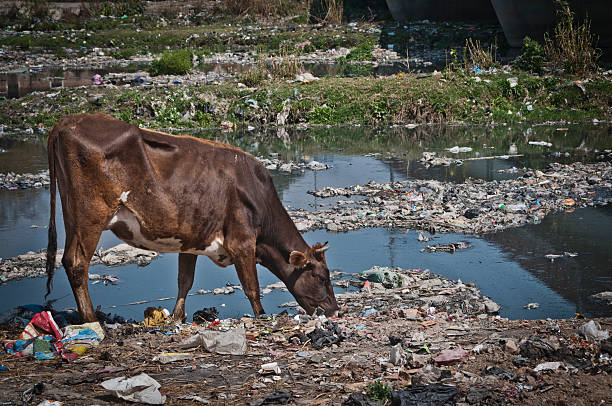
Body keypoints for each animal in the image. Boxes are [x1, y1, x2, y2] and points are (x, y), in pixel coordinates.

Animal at [44, 112, 338, 322]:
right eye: (322, 277)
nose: (335, 310)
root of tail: (68, 120)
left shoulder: (191, 240)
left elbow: (184, 282)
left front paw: (176, 317)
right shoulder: (242, 241)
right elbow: (251, 286)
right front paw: (262, 317)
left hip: (71, 214)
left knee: (68, 259)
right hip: (90, 215)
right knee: (77, 263)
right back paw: (93, 321)